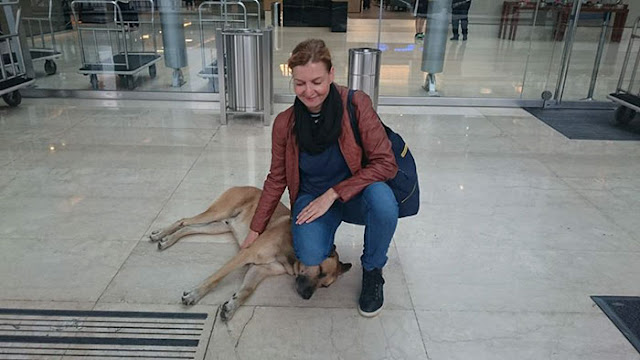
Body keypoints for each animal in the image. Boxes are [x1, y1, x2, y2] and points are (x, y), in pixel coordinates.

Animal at [148, 186, 352, 320]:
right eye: (320, 271)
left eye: (325, 286)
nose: (307, 297)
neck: (292, 253)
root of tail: (244, 185)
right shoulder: (245, 254)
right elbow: (216, 278)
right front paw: (195, 294)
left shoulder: (260, 269)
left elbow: (247, 290)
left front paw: (232, 305)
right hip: (218, 212)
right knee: (184, 221)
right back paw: (160, 234)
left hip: (219, 226)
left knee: (189, 228)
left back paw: (168, 239)